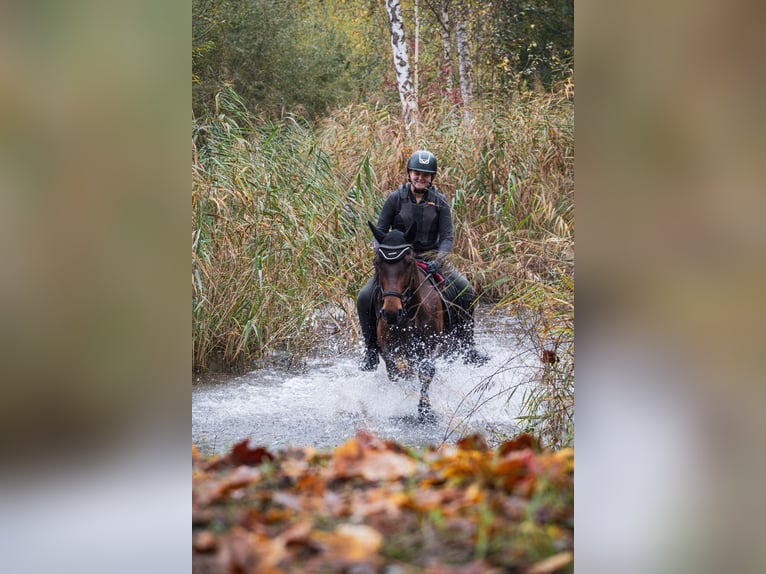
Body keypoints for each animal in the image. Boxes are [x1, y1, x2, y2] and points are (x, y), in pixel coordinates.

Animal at [367, 221, 445, 422]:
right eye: (377, 263)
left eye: (408, 262)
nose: (391, 312)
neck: (408, 317)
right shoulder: (388, 350)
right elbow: (397, 373)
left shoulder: (431, 346)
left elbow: (425, 372)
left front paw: (424, 409)